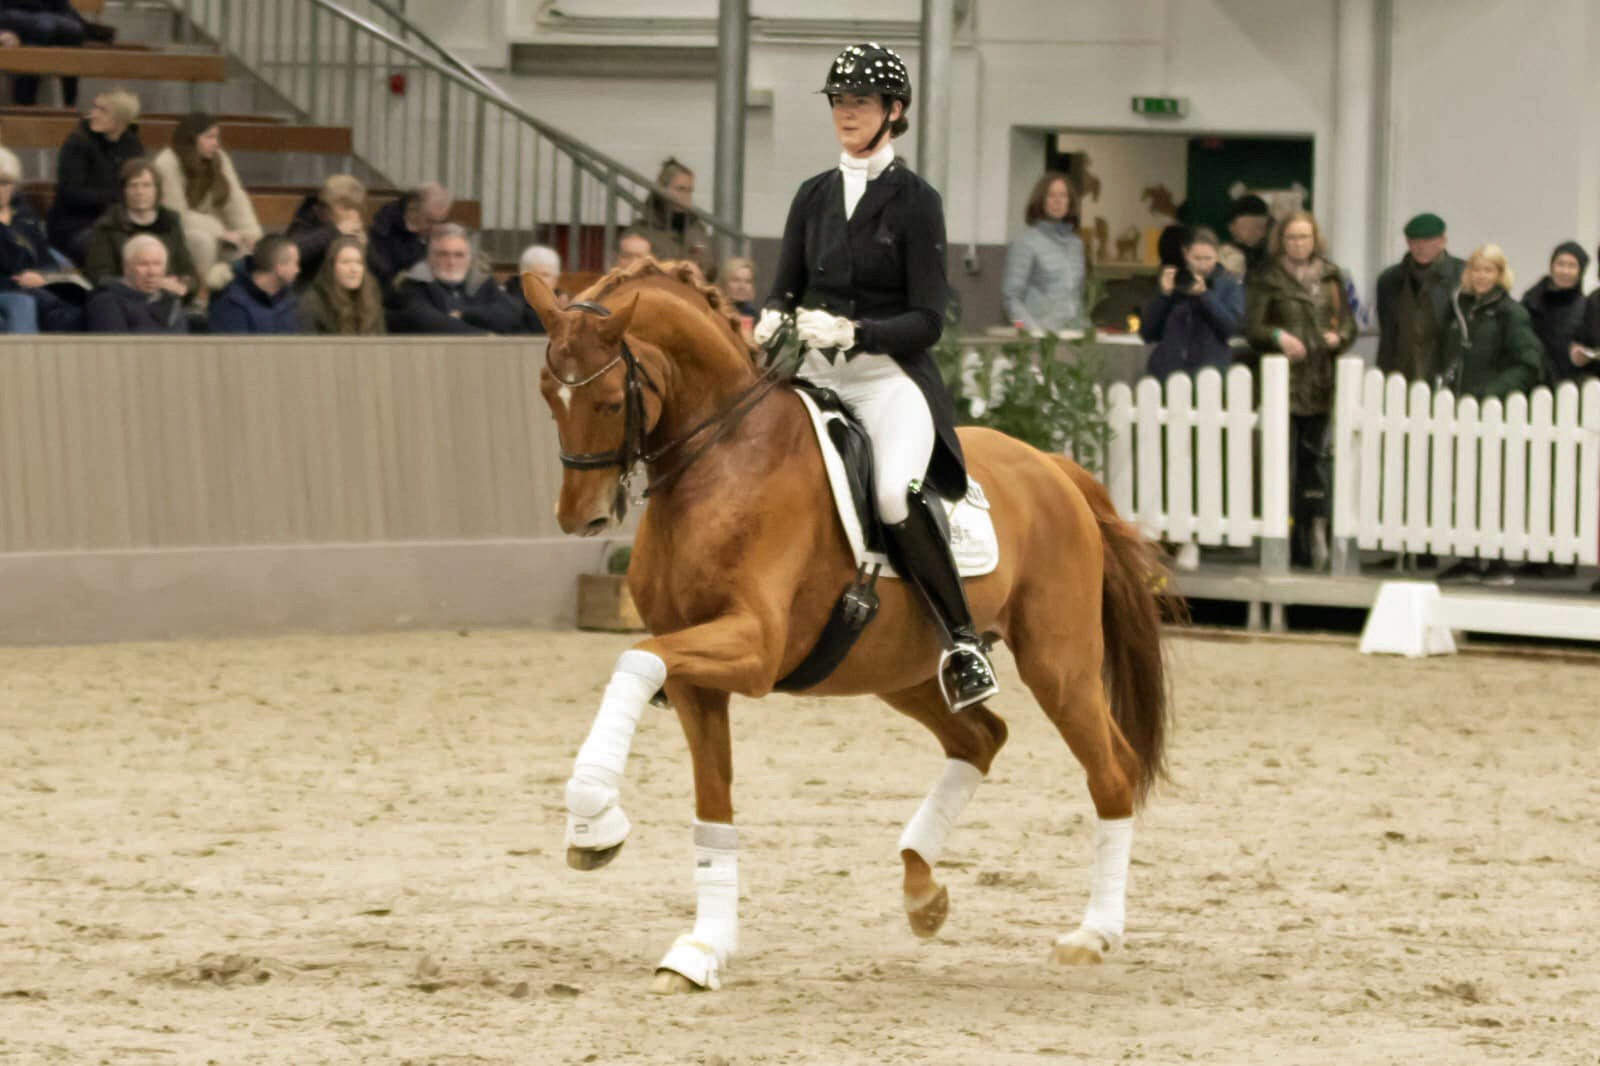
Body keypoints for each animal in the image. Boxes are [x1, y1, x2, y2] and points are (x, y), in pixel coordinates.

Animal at [528, 260, 1177, 992]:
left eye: (612, 400)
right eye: (548, 394)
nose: (579, 518)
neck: (724, 459)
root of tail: (1055, 467)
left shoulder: (753, 649)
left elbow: (634, 660)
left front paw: (593, 821)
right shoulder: (697, 678)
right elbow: (712, 808)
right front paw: (701, 950)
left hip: (1057, 664)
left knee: (1111, 771)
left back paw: (1094, 934)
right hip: (902, 670)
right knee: (981, 738)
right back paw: (923, 891)